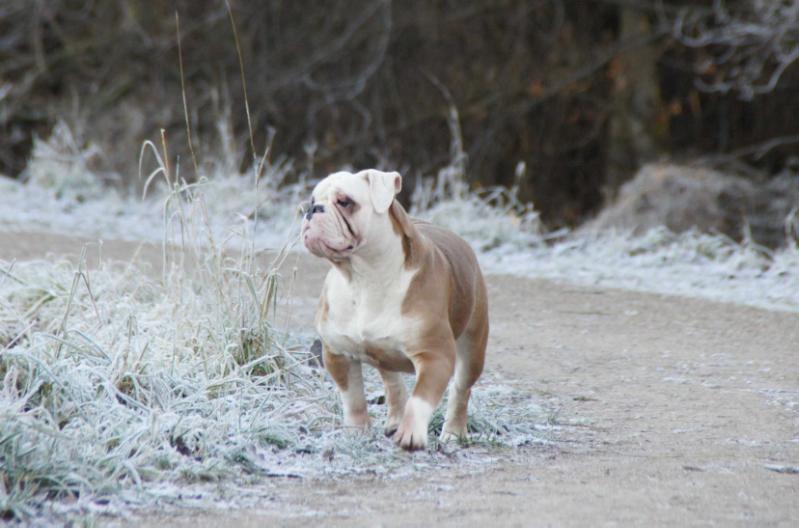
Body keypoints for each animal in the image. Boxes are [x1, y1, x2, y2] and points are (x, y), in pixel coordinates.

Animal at [302, 169, 488, 450]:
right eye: (313, 199)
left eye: (345, 201)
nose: (312, 209)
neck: (364, 276)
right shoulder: (338, 354)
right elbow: (353, 399)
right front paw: (356, 433)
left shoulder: (435, 356)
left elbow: (420, 398)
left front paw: (411, 434)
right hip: (382, 351)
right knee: (393, 382)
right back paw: (394, 420)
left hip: (473, 347)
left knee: (460, 389)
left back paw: (454, 433)